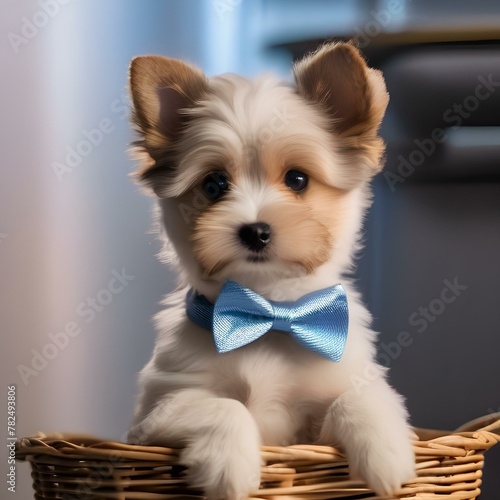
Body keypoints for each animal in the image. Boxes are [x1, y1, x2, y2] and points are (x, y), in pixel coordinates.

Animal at [127, 41, 416, 498]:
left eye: (297, 179)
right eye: (214, 185)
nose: (255, 230)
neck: (269, 313)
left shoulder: (334, 394)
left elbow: (360, 397)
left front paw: (385, 453)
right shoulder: (155, 414)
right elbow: (224, 405)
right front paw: (229, 466)